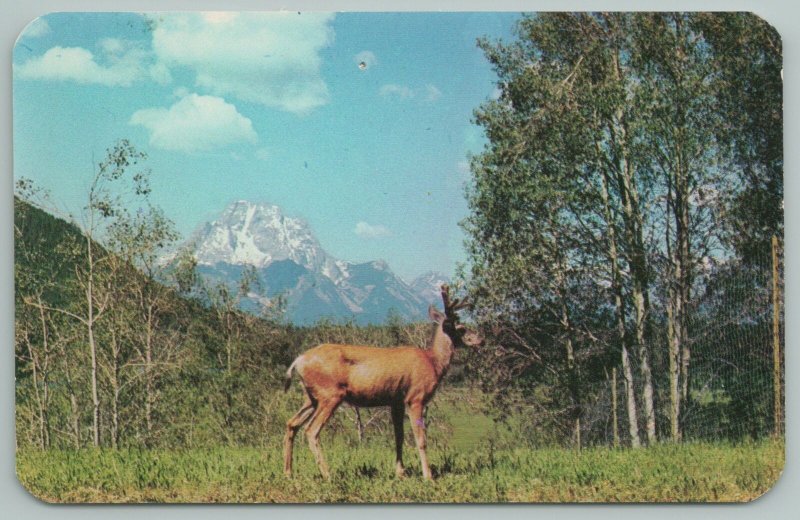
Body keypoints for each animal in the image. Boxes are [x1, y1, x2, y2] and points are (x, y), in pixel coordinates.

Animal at [282, 284, 482, 480]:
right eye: (461, 328)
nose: (480, 338)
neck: (433, 362)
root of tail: (298, 361)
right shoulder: (415, 397)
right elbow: (421, 439)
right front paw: (428, 476)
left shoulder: (396, 401)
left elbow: (399, 436)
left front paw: (400, 473)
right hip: (330, 394)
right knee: (311, 430)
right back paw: (327, 474)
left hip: (311, 397)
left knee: (292, 423)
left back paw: (289, 472)